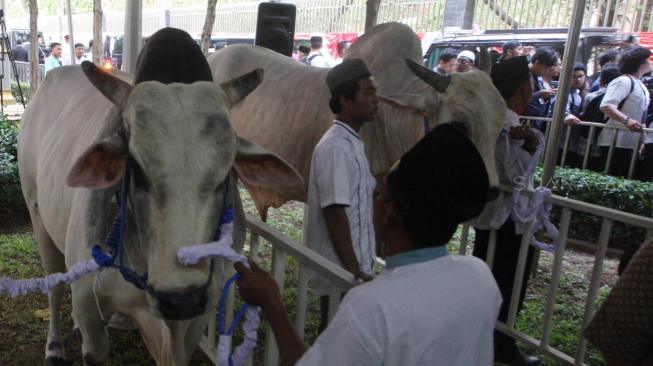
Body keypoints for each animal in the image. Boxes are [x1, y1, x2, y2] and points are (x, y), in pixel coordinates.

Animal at [17, 27, 304, 364]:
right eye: (137, 170)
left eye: (225, 175)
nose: (180, 299)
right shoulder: (89, 305)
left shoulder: (199, 312)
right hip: (36, 213)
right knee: (54, 283)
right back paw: (55, 346)